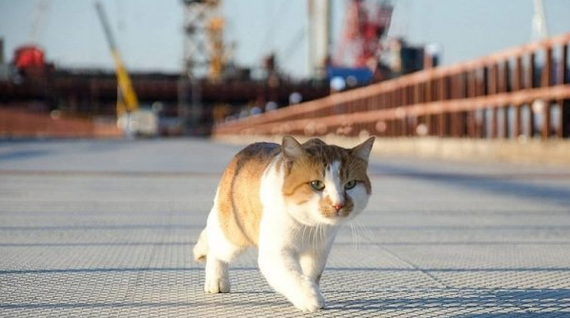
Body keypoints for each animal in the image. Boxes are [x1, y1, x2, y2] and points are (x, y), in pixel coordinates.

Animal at [193, 135, 374, 312]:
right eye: (317, 184)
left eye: (350, 184)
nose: (338, 204)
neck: (309, 225)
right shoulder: (274, 253)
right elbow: (293, 277)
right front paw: (310, 298)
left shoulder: (319, 251)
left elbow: (311, 275)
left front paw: (313, 289)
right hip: (233, 238)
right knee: (215, 247)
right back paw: (216, 279)